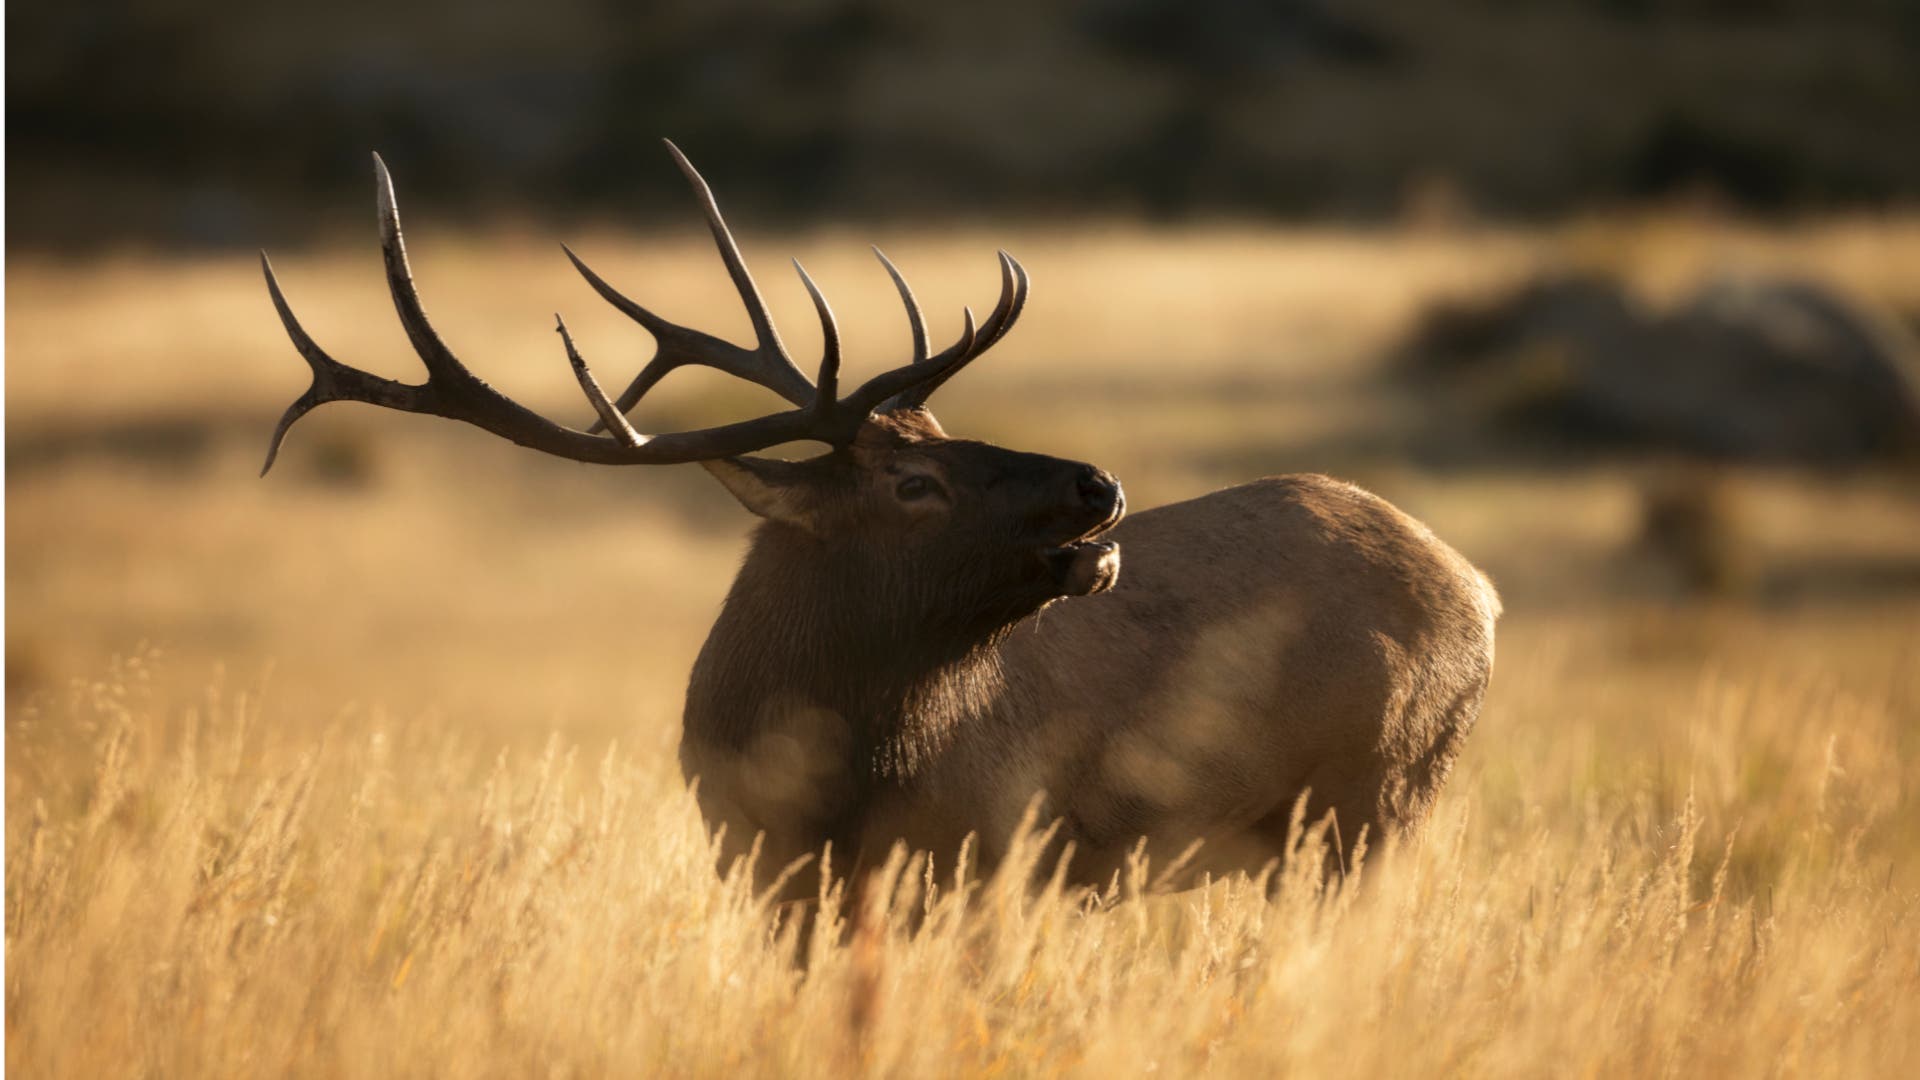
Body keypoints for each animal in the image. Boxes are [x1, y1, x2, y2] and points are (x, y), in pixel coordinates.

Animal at [260, 142, 1500, 903]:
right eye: (913, 482)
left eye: (945, 429)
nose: (1098, 487)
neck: (835, 771)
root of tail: (1479, 590)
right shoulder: (759, 866)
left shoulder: (1003, 858)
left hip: (1377, 803)